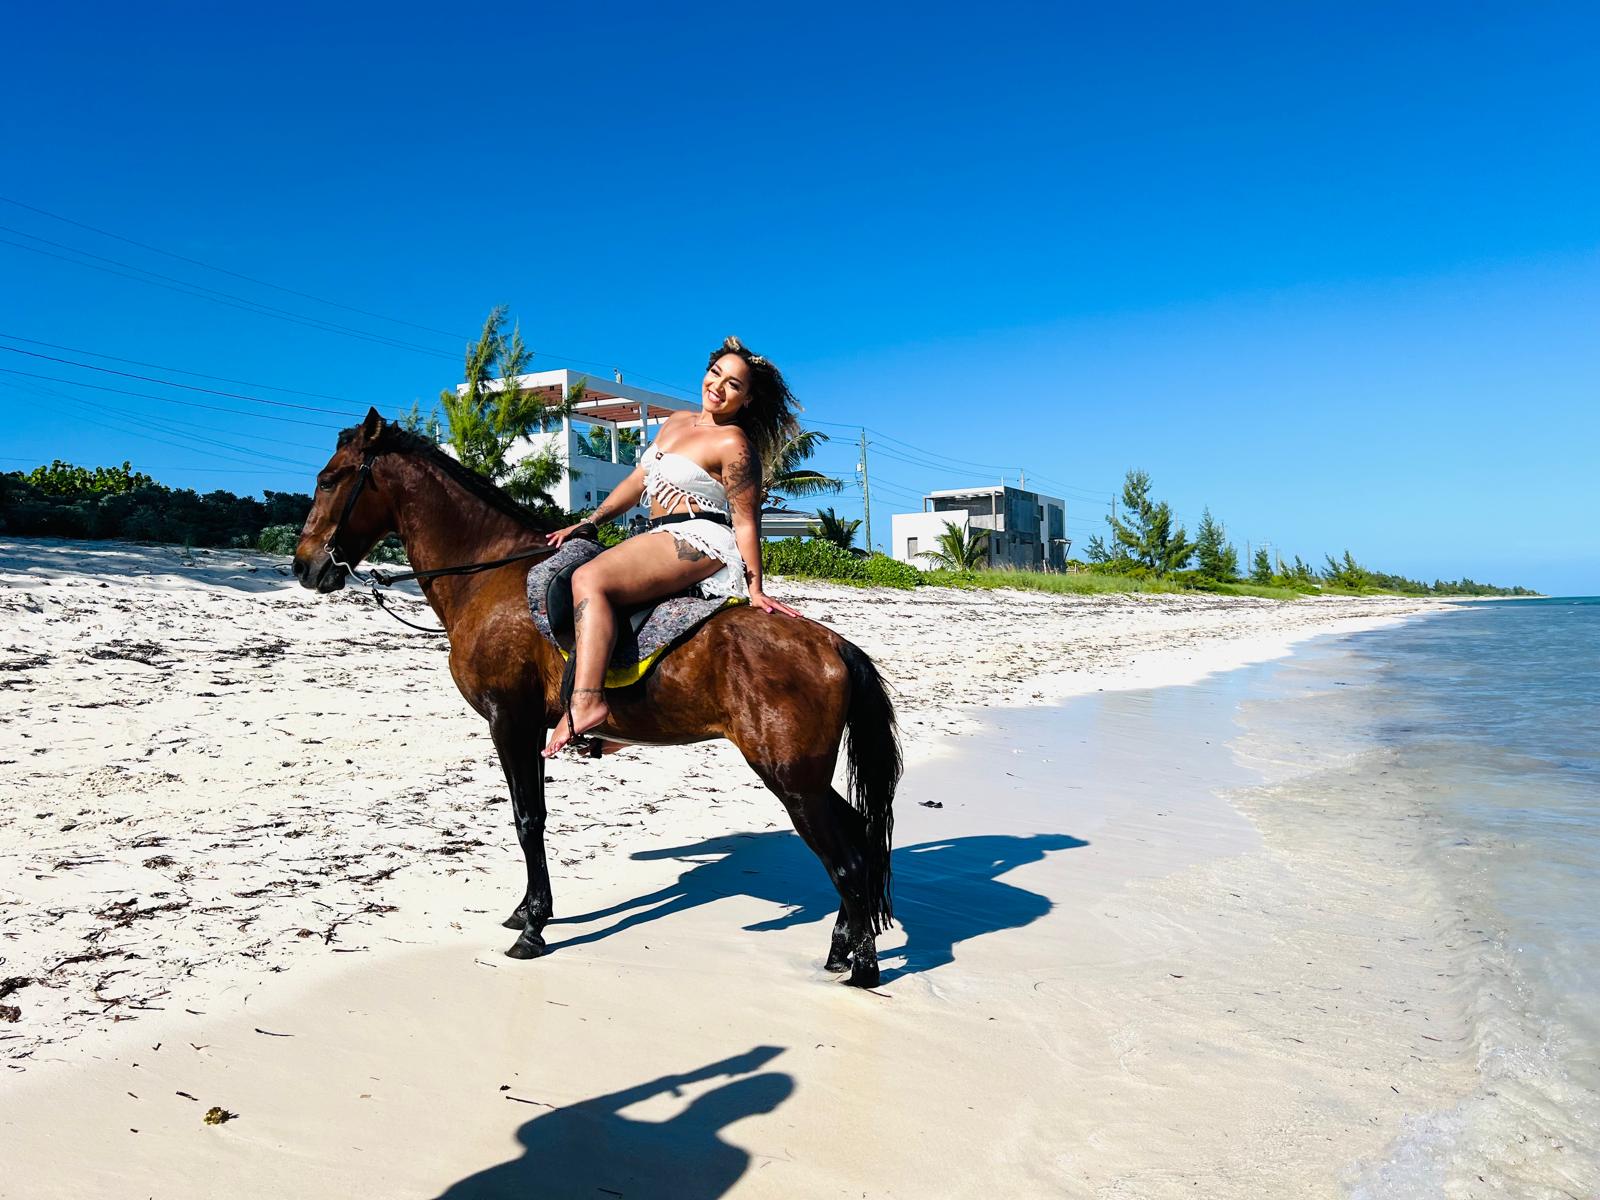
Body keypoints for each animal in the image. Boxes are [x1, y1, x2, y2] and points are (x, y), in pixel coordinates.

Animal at [291, 409, 900, 987]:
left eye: (329, 479)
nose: (304, 566)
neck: (490, 578)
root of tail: (834, 645)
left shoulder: (509, 722)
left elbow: (527, 819)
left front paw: (534, 926)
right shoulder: (527, 729)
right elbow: (531, 818)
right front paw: (526, 911)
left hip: (791, 778)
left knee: (848, 861)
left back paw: (862, 968)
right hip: (806, 779)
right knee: (860, 840)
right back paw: (842, 948)